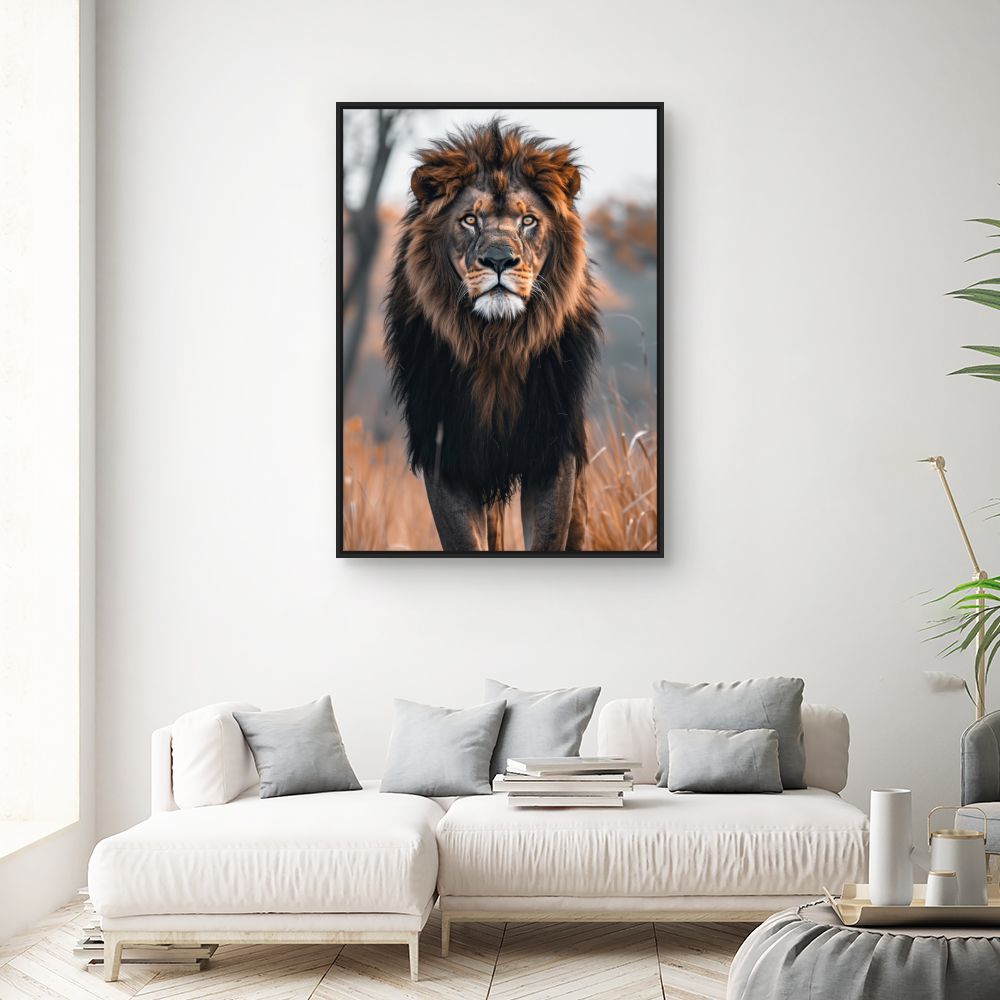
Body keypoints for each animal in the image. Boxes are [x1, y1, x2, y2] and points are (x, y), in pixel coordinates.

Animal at [384, 119, 601, 552]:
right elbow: (464, 542)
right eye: (470, 219)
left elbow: (548, 539)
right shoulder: (446, 453)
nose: (499, 260)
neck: (496, 343)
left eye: (528, 221)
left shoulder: (553, 453)